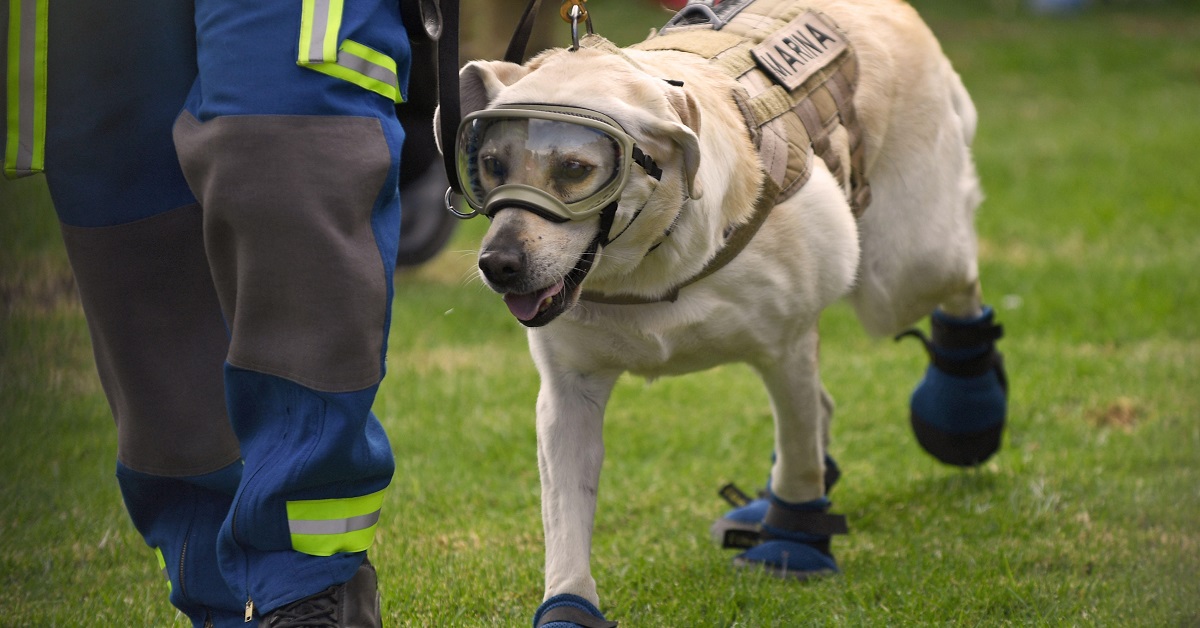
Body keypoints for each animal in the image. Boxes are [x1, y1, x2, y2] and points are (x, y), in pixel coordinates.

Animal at [441, 0, 1003, 624]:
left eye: (574, 169)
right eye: (492, 164)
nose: (498, 264)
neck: (653, 265)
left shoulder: (786, 348)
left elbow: (801, 455)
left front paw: (793, 543)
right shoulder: (568, 393)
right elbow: (565, 513)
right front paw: (568, 603)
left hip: (902, 269)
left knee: (956, 282)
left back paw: (966, 410)